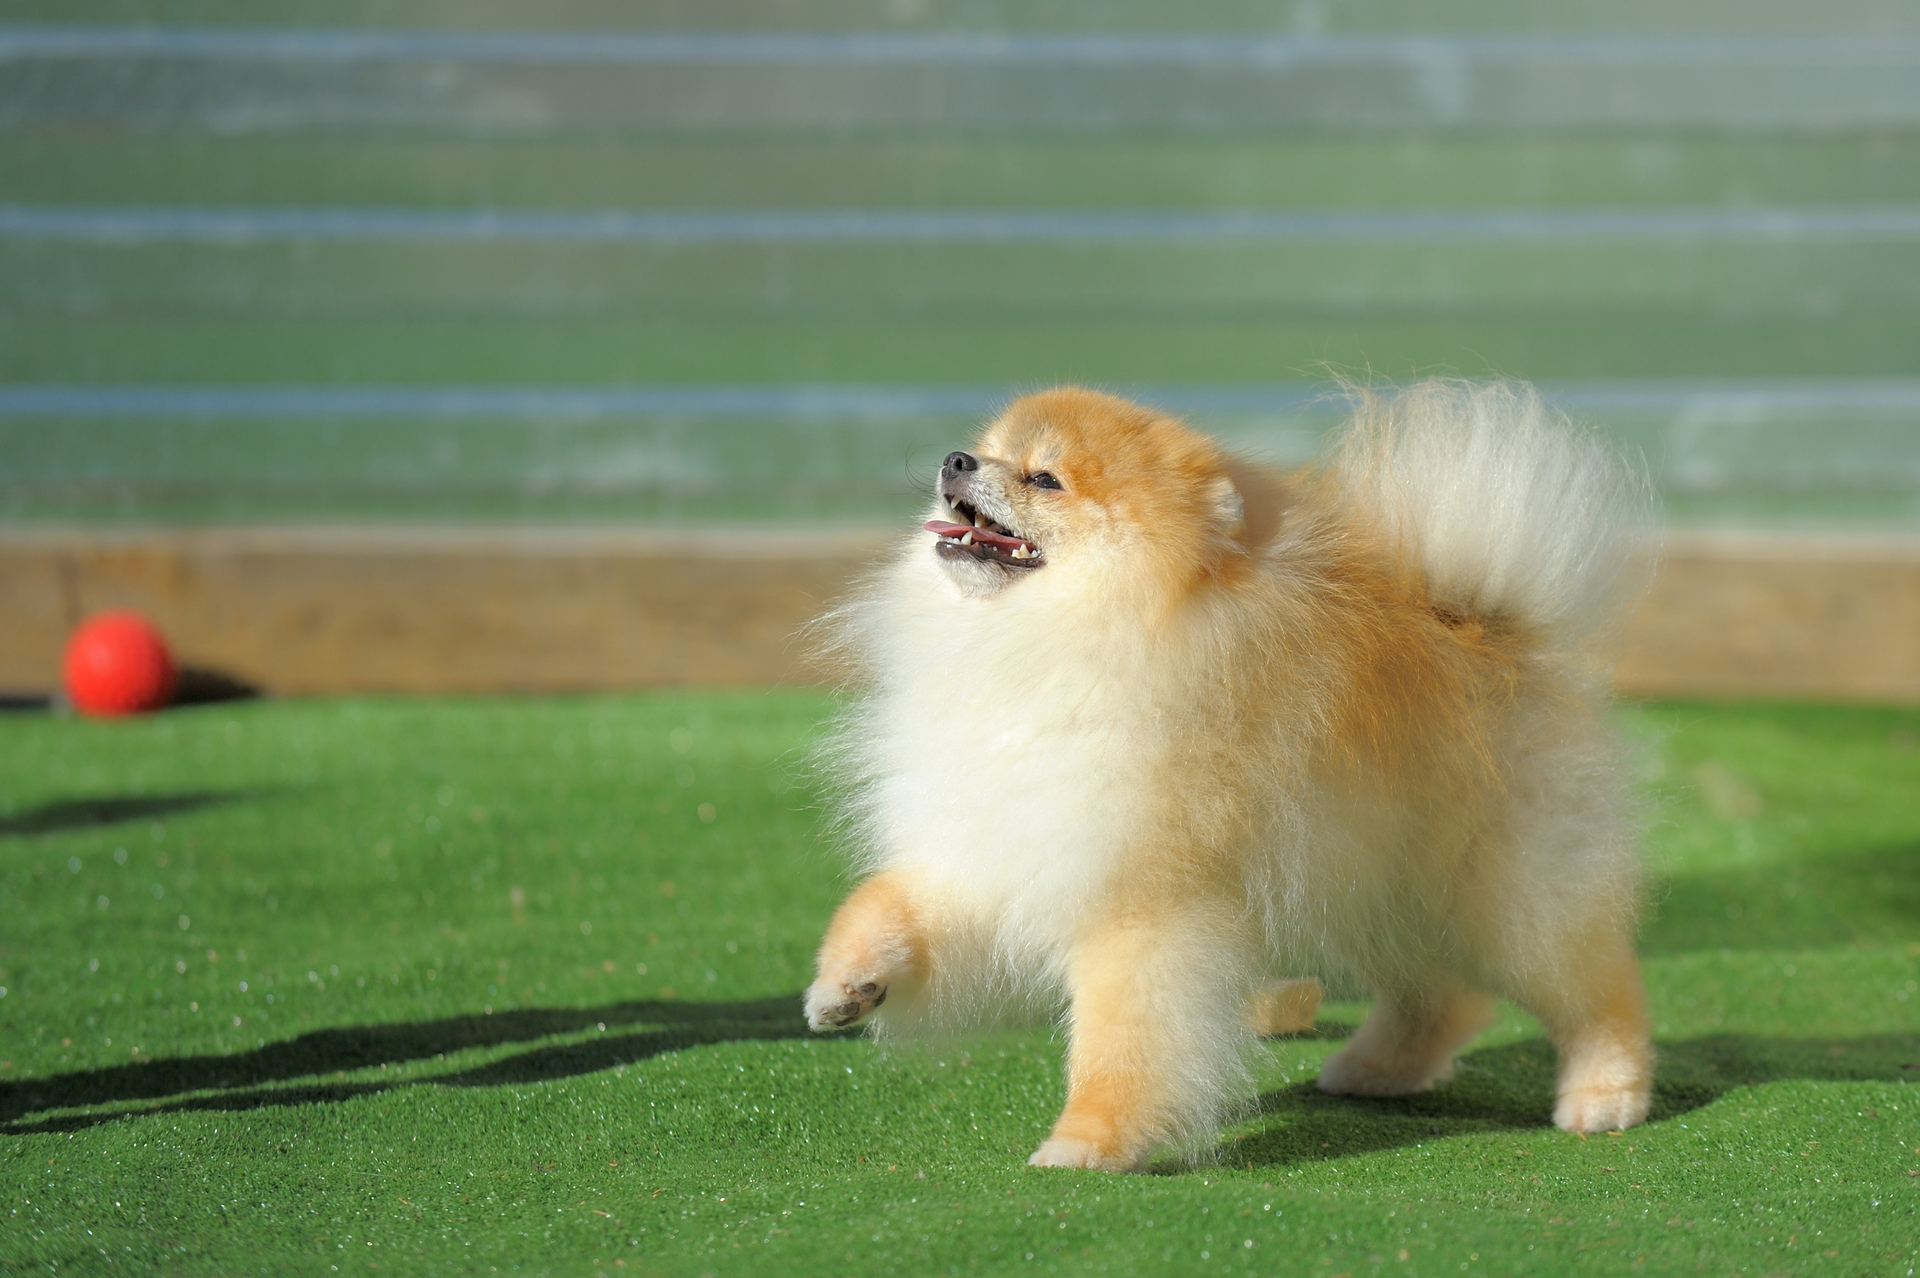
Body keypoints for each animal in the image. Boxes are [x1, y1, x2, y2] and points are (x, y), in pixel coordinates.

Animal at [802, 378, 1658, 1166]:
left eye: (1045, 478)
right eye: (989, 449)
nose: (955, 459)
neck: (1046, 648)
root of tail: (1490, 628)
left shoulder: (1139, 904)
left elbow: (1121, 1041)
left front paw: (1088, 1142)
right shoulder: (992, 844)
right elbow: (883, 905)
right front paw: (846, 986)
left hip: (1505, 889)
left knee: (1592, 991)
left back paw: (1605, 1095)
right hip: (1376, 880)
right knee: (1439, 992)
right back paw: (1380, 1068)